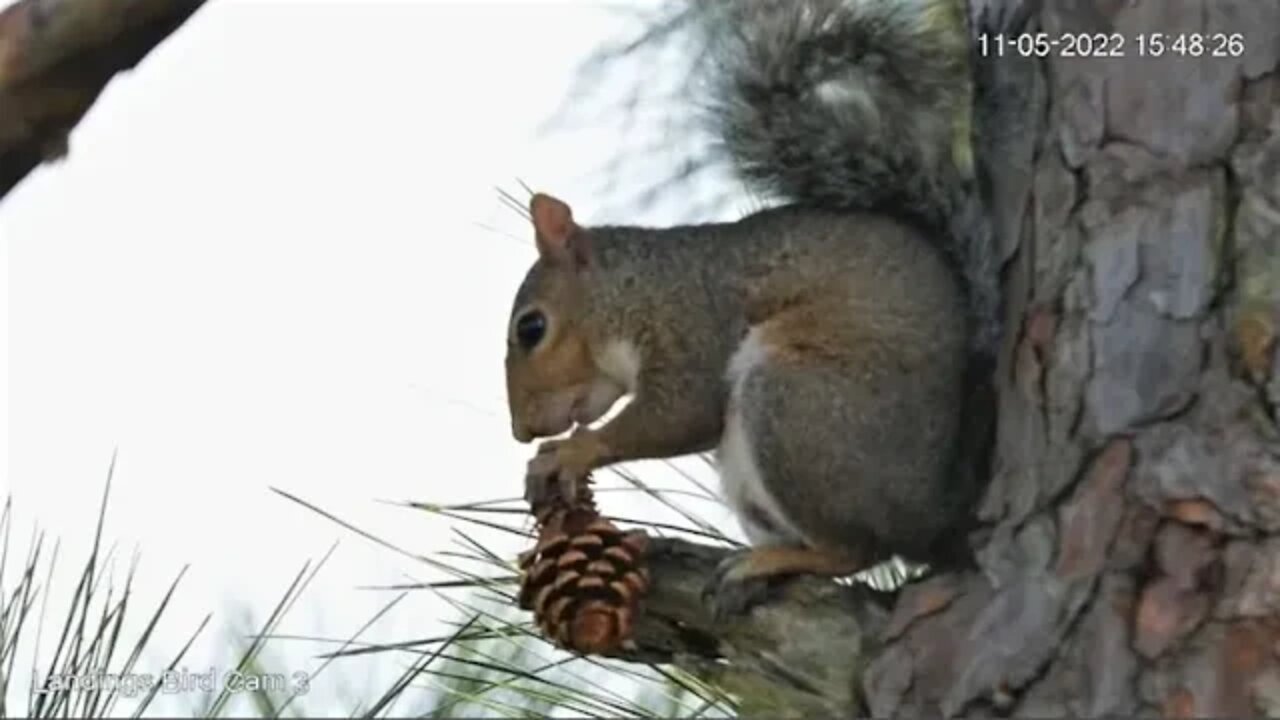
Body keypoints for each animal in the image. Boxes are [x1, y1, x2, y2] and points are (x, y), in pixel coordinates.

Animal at [499, 0, 1008, 614]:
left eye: (531, 328)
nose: (522, 431)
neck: (637, 289)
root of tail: (936, 514)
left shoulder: (696, 324)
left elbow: (681, 413)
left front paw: (571, 452)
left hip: (797, 406)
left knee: (857, 549)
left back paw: (766, 561)